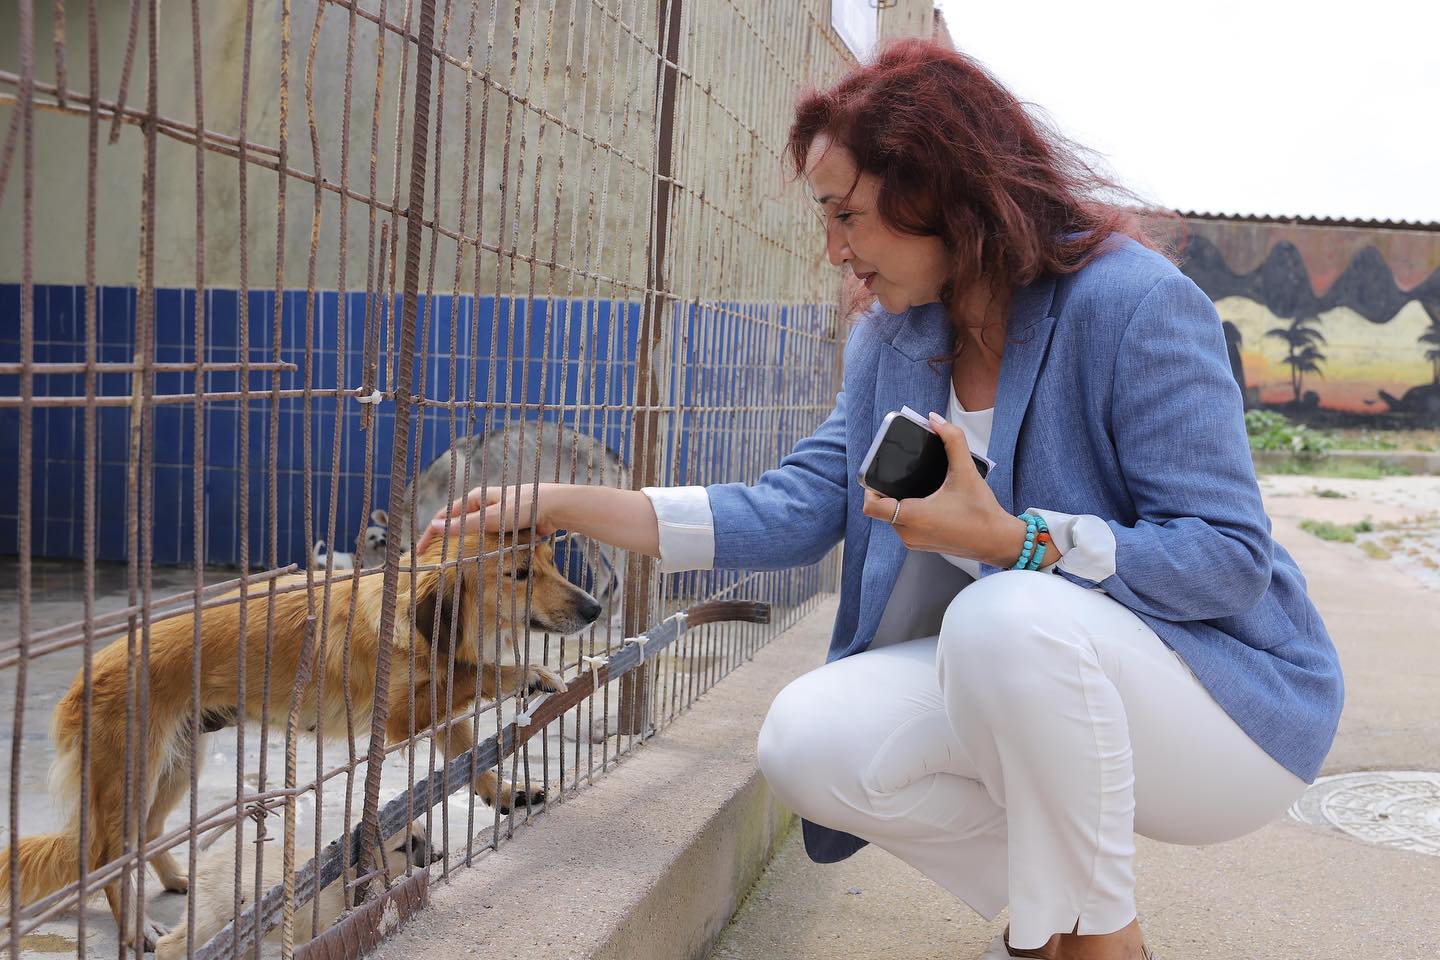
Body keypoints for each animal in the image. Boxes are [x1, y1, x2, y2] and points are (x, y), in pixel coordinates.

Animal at [154, 817, 437, 960]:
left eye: (424, 832)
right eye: (406, 846)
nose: (440, 855)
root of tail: (205, 861)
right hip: (209, 926)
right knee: (164, 946)